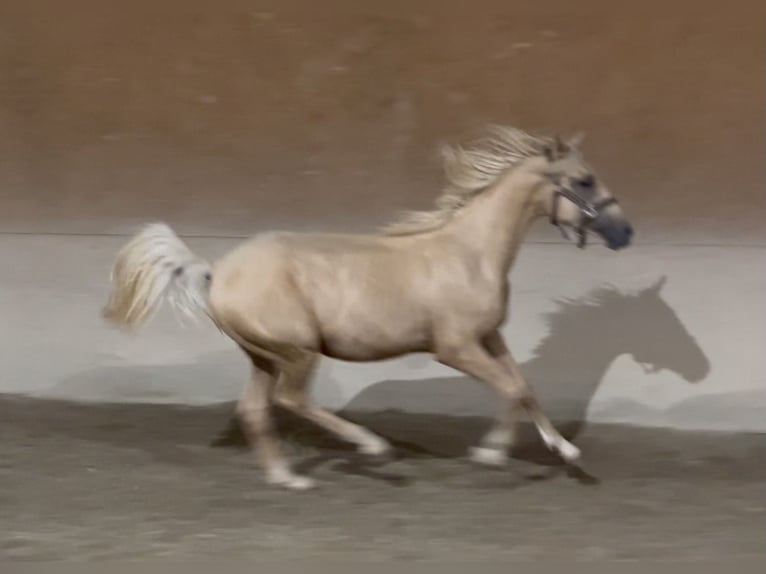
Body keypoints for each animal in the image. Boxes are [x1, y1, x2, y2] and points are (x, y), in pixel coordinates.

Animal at [105, 125, 640, 490]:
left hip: (263, 356)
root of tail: (217, 271)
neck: (471, 252)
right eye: (584, 180)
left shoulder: (489, 336)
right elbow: (509, 389)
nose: (625, 232)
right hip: (298, 351)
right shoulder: (455, 347)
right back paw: (371, 447)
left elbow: (524, 386)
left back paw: (288, 478)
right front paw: (490, 454)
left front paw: (566, 449)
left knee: (255, 409)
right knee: (291, 400)